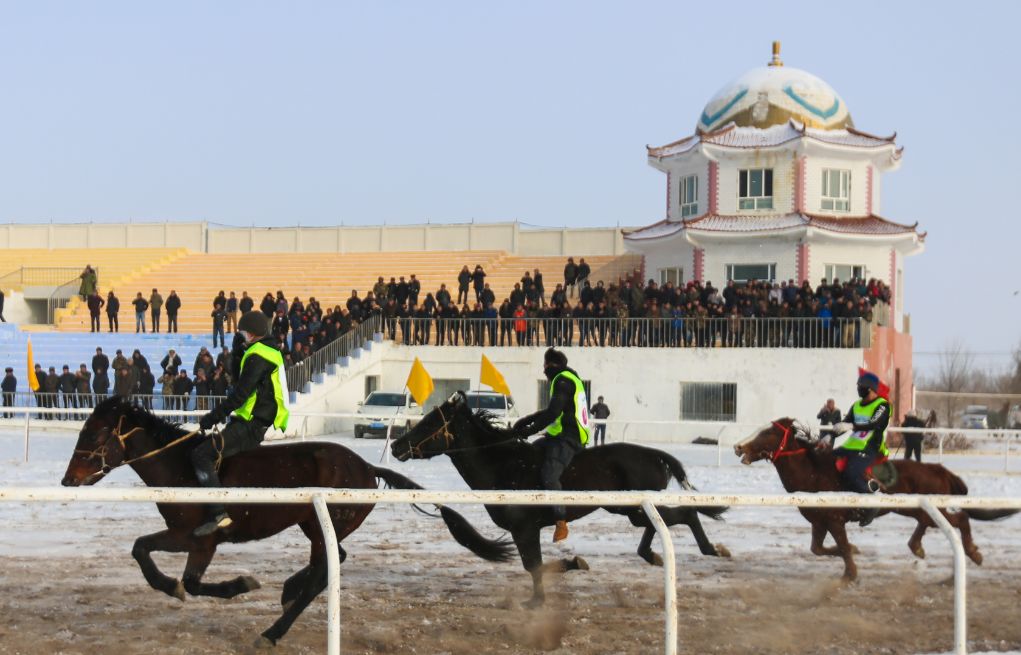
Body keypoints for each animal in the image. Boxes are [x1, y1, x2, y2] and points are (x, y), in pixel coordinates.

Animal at [59, 395, 514, 644]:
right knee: (333, 561)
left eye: (94, 435)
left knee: (322, 572)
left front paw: (234, 584)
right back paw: (289, 591)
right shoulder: (187, 537)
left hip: (321, 524)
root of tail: (367, 467)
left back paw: (273, 631)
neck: (180, 467)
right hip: (315, 524)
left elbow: (174, 569)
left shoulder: (198, 537)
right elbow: (153, 556)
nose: (68, 479)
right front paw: (177, 586)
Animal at [385, 387, 731, 608]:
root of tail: (655, 454)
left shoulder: (524, 528)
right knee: (654, 523)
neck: (502, 465)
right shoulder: (525, 530)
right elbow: (534, 566)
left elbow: (533, 566)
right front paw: (568, 567)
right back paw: (653, 554)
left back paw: (712, 548)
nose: (397, 445)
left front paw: (542, 595)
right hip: (626, 508)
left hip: (628, 506)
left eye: (430, 422)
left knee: (684, 515)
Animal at [735, 416, 1012, 579]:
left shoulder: (834, 520)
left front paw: (850, 569)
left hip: (934, 508)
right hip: (915, 509)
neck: (814, 473)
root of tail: (939, 469)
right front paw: (853, 552)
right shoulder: (819, 522)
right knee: (927, 524)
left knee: (961, 520)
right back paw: (918, 547)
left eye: (767, 433)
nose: (739, 447)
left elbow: (842, 547)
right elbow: (818, 548)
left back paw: (973, 553)